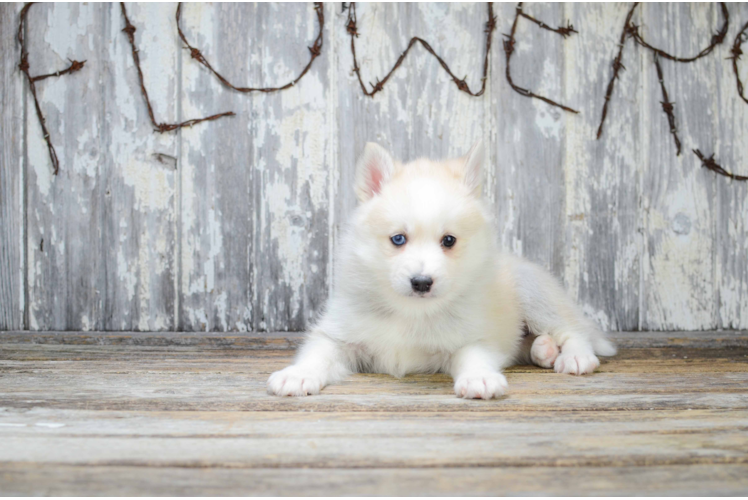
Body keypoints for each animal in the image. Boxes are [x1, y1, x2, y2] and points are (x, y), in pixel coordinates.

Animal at [266, 141, 616, 398]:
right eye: (398, 239)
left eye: (449, 240)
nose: (422, 282)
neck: (410, 313)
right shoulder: (337, 335)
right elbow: (318, 354)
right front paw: (298, 375)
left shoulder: (472, 337)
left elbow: (474, 356)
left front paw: (479, 378)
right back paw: (543, 350)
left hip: (533, 293)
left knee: (572, 329)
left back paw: (573, 356)